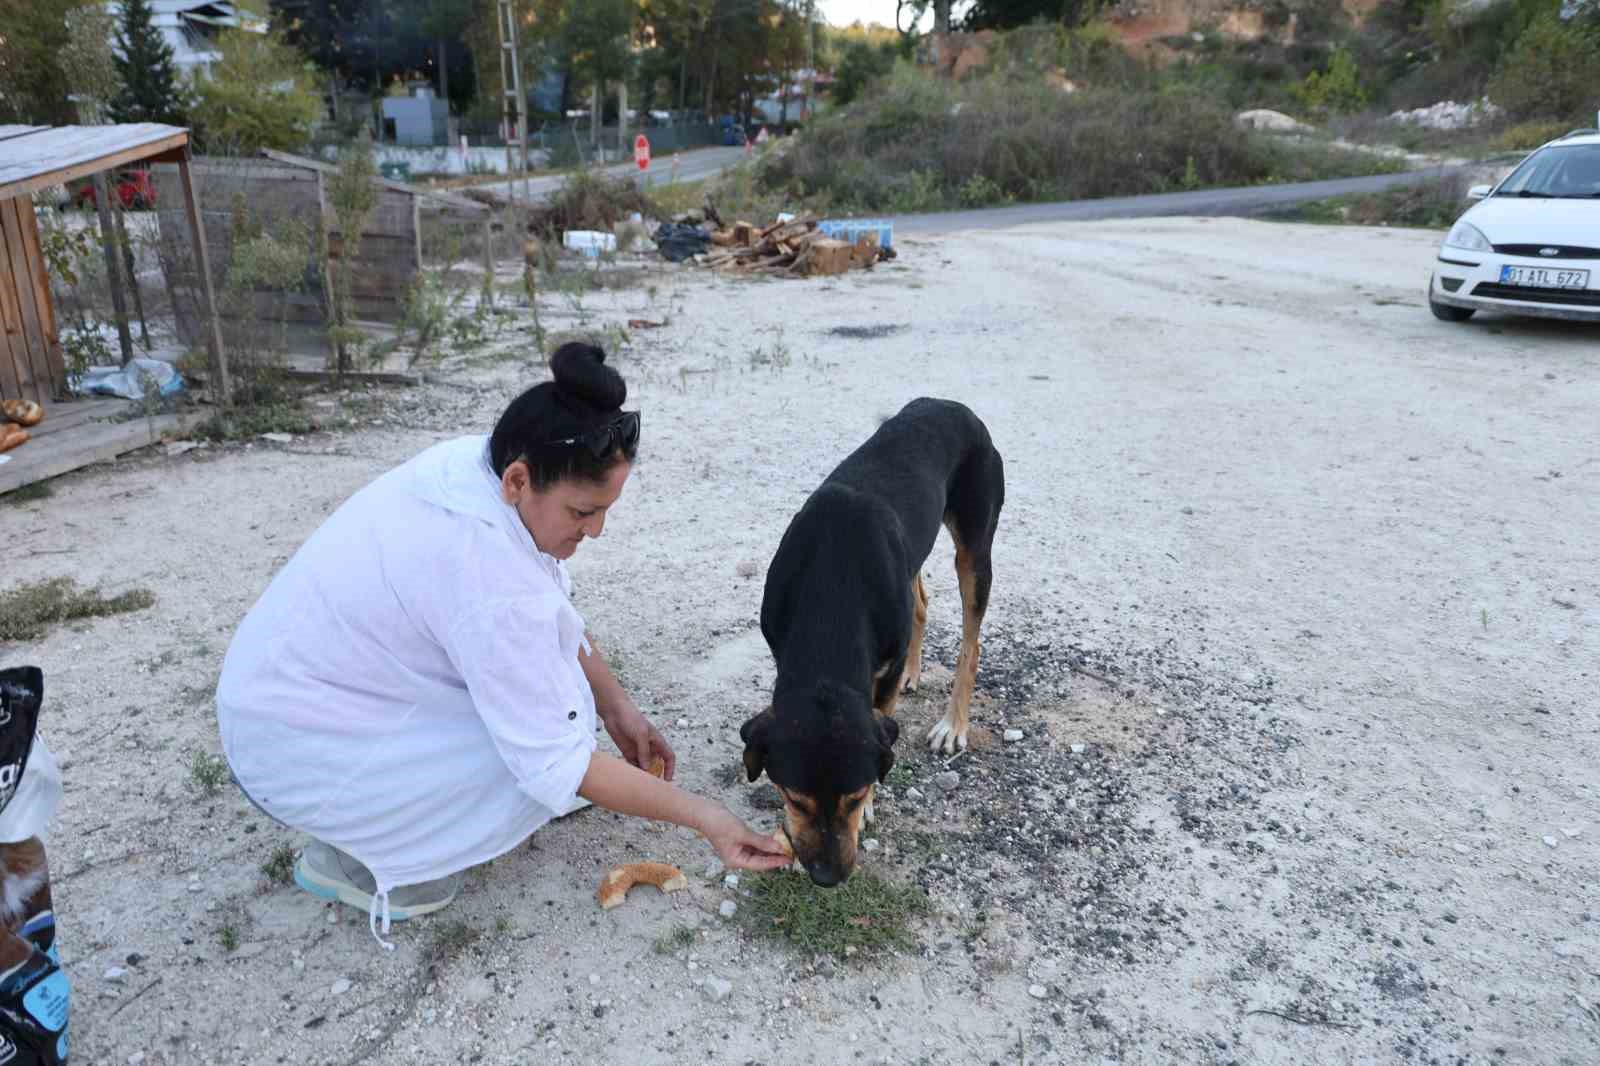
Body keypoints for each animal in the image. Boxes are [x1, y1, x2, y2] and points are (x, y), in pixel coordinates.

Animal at [736, 396, 998, 877]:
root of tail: (952, 404)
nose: (827, 878)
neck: (831, 588)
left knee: (971, 643)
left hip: (974, 548)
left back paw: (953, 725)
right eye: (794, 798)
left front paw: (871, 810)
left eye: (855, 795)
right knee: (920, 601)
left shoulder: (882, 680)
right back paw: (916, 670)